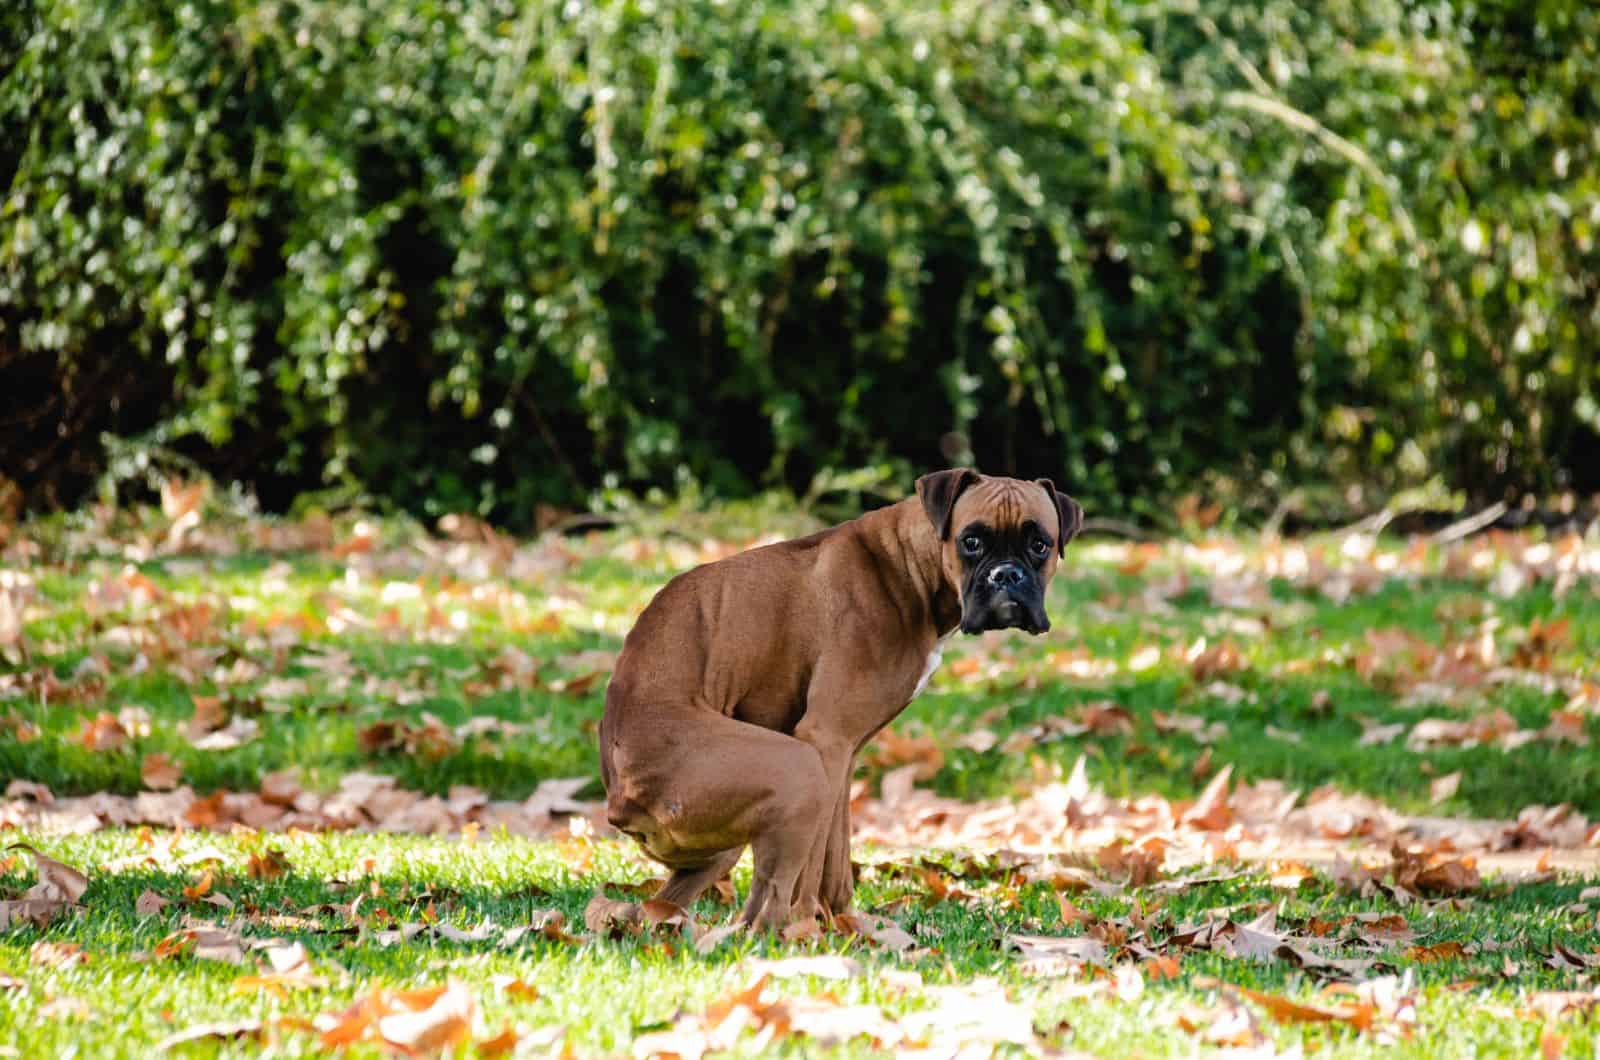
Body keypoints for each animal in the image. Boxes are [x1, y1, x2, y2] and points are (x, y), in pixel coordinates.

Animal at [601, 470, 1088, 928]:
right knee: (763, 907)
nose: (1006, 574)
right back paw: (785, 934)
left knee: (667, 906)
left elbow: (836, 855)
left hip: (726, 842)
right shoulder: (825, 741)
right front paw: (809, 927)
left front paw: (846, 924)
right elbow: (814, 864)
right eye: (971, 541)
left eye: (1040, 545)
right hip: (797, 770)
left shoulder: (843, 755)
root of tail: (620, 802)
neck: (908, 566)